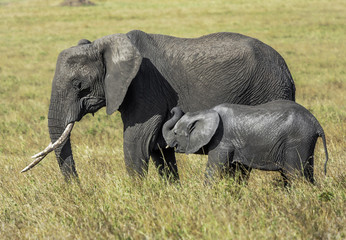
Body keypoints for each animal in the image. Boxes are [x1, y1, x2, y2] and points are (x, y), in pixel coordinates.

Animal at [23, 30, 294, 181]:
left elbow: (137, 142)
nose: (80, 190)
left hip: (267, 91)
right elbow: (158, 150)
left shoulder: (145, 87)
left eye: (79, 85)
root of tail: (286, 70)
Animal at [164, 100, 328, 185]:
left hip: (296, 142)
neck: (205, 111)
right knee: (307, 173)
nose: (172, 109)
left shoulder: (222, 141)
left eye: (176, 133)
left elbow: (214, 170)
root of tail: (317, 124)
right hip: (305, 143)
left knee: (295, 175)